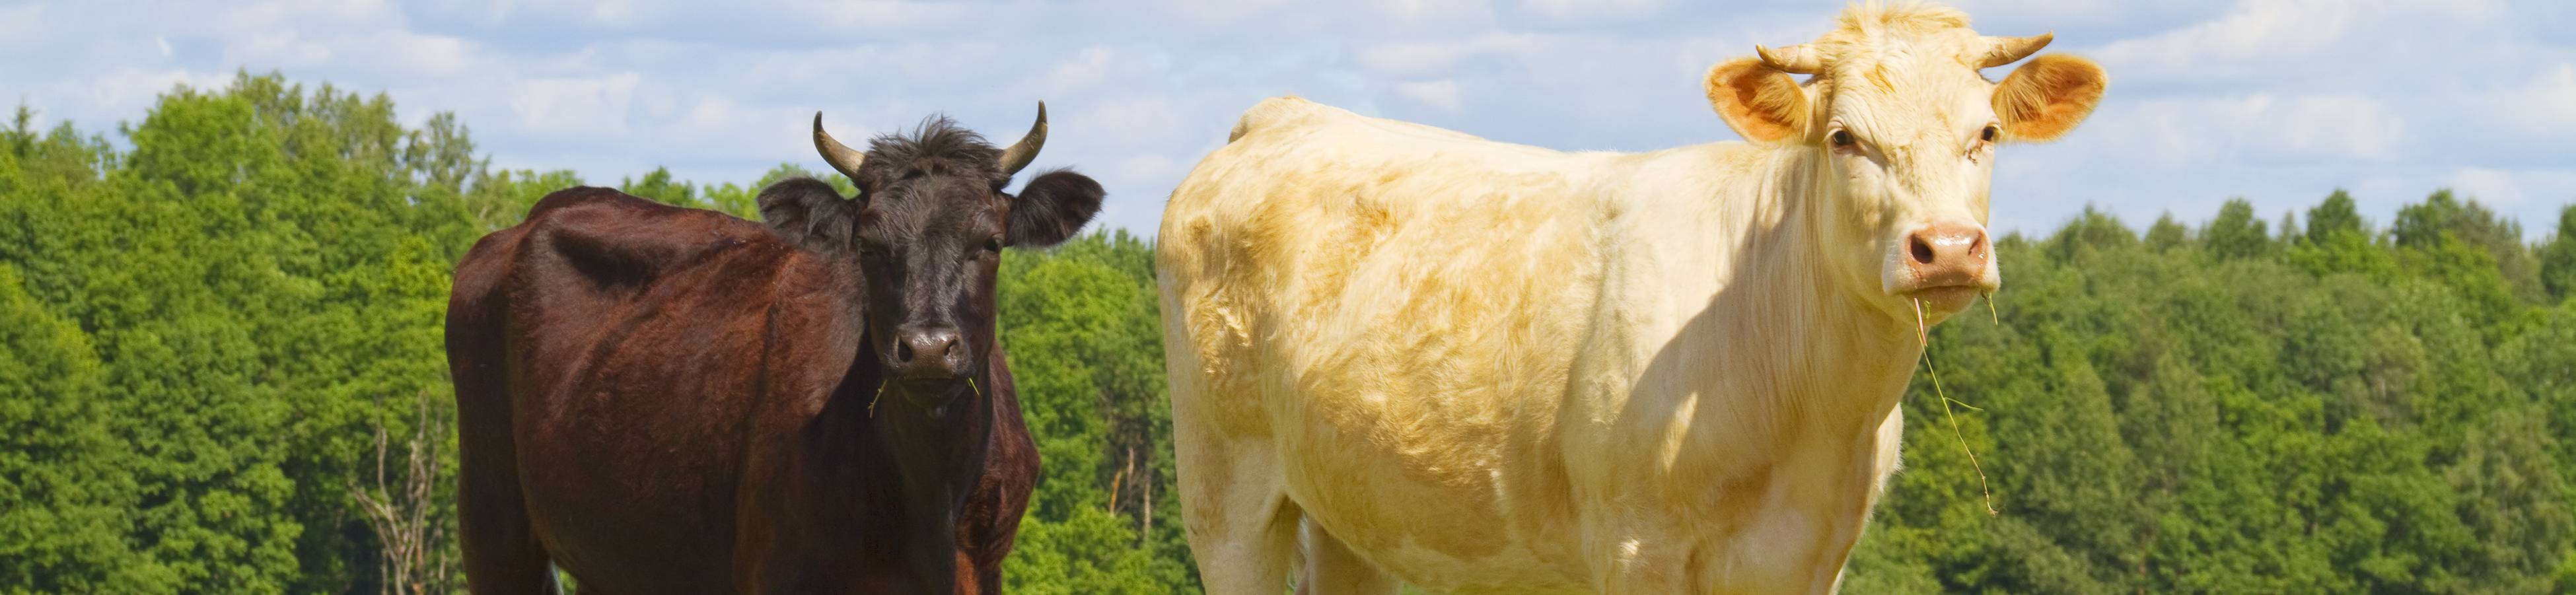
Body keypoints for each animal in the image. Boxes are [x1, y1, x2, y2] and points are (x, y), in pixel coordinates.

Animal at [446, 104, 1104, 594]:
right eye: (868, 246)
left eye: (989, 242)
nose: (926, 348)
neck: (929, 495)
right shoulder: (777, 567)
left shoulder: (983, 568)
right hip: (491, 512)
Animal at [1154, 5, 2105, 594]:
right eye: (1844, 138)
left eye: (1986, 132)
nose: (1946, 247)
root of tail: (1285, 114)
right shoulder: (1636, 544)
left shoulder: (1813, 558)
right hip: (1222, 488)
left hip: (1357, 507)